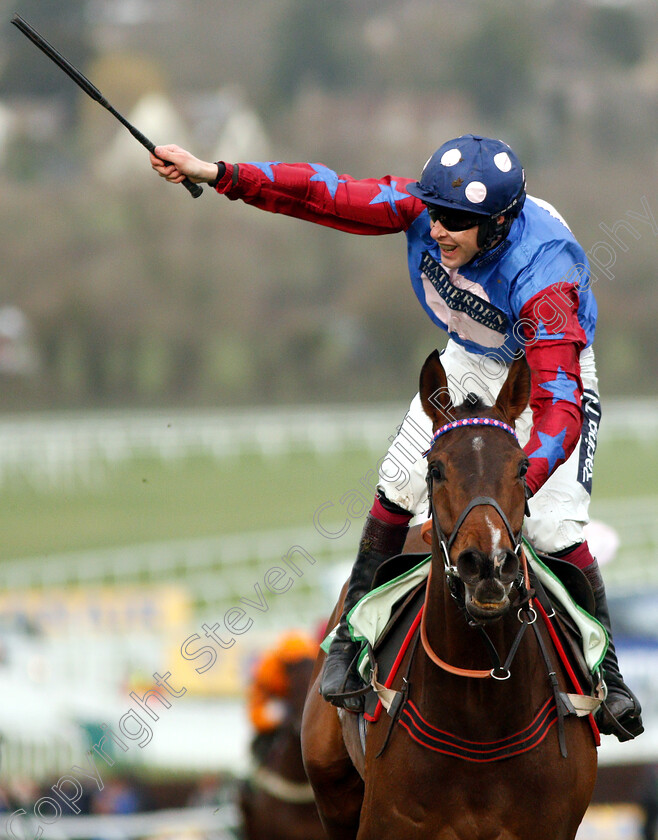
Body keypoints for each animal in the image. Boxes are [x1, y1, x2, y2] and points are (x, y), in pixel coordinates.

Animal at [300, 352, 596, 840]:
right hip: (331, 787)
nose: (488, 565)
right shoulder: (385, 822)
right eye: (436, 469)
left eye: (521, 467)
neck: (480, 708)